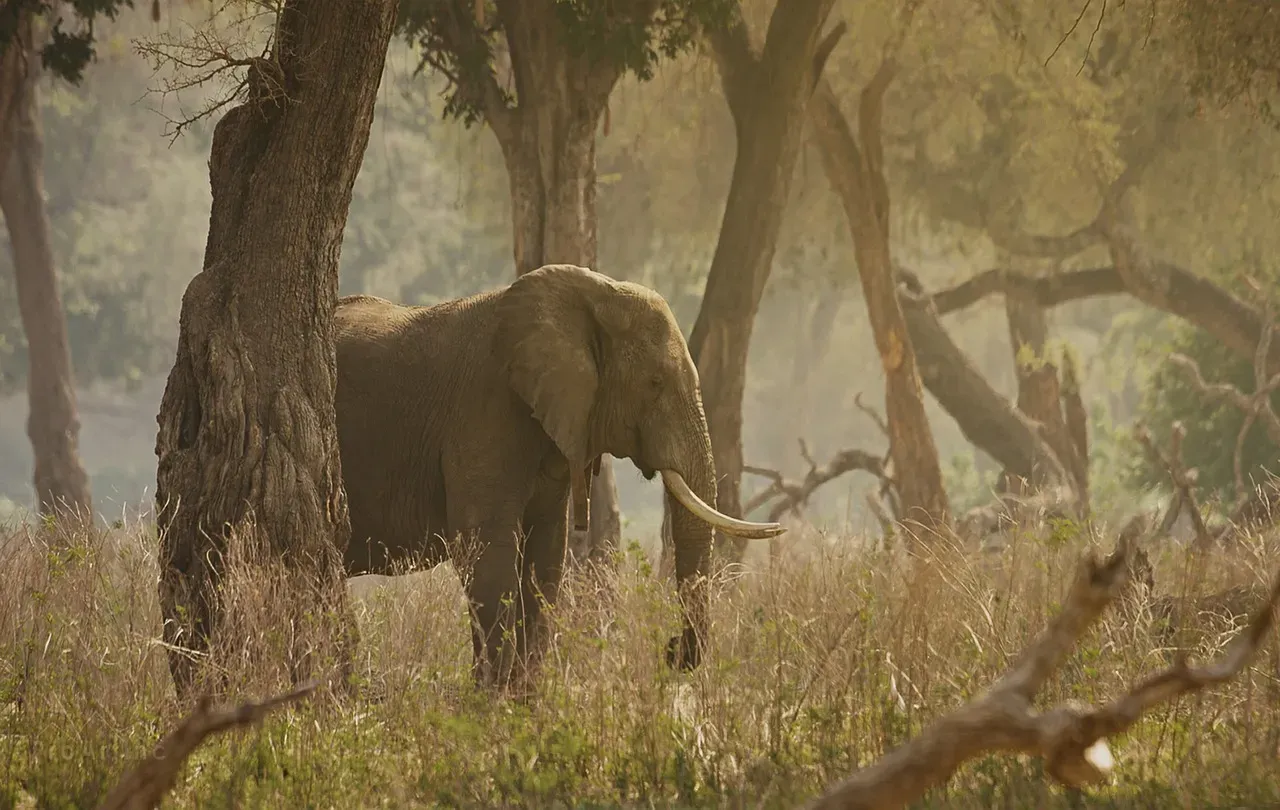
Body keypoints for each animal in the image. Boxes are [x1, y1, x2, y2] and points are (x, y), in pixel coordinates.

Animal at [334, 263, 784, 689]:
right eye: (655, 383)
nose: (672, 651)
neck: (592, 296)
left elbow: (546, 553)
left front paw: (522, 700)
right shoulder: (483, 412)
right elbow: (486, 550)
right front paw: (489, 702)